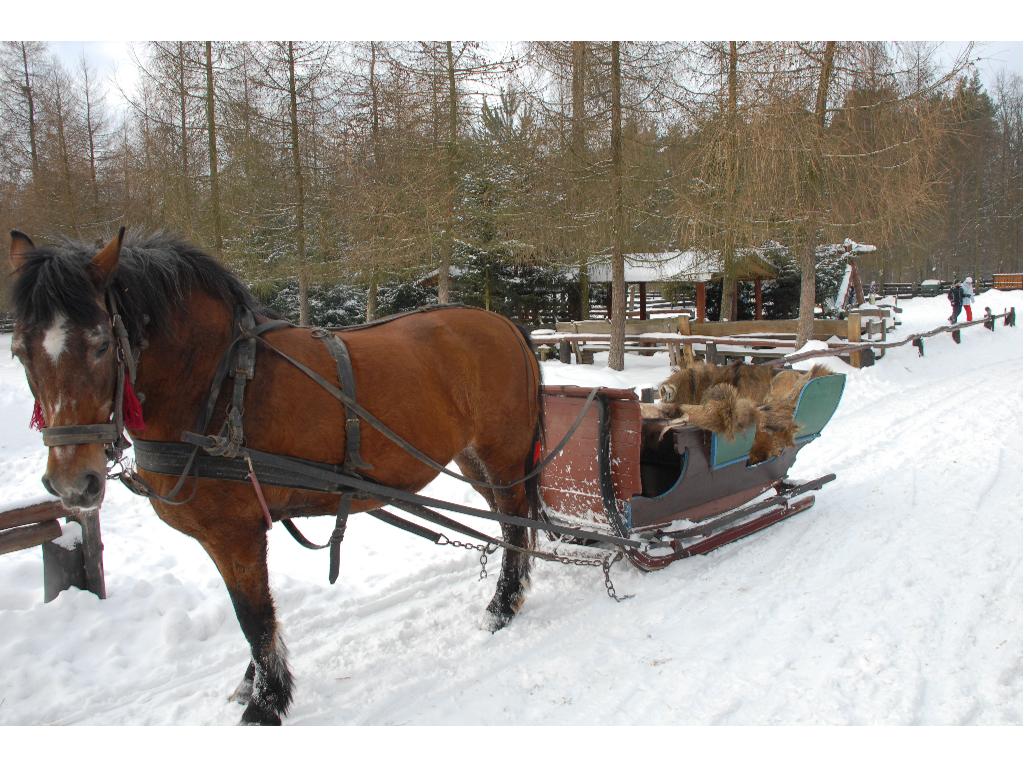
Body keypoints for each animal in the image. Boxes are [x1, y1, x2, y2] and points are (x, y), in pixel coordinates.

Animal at [8, 228, 544, 729]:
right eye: (19, 352)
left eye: (101, 344)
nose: (72, 484)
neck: (219, 389)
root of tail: (505, 324)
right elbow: (251, 612)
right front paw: (254, 685)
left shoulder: (235, 533)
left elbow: (254, 616)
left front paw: (265, 703)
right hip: (474, 460)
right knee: (507, 523)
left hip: (502, 455)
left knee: (516, 525)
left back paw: (501, 606)